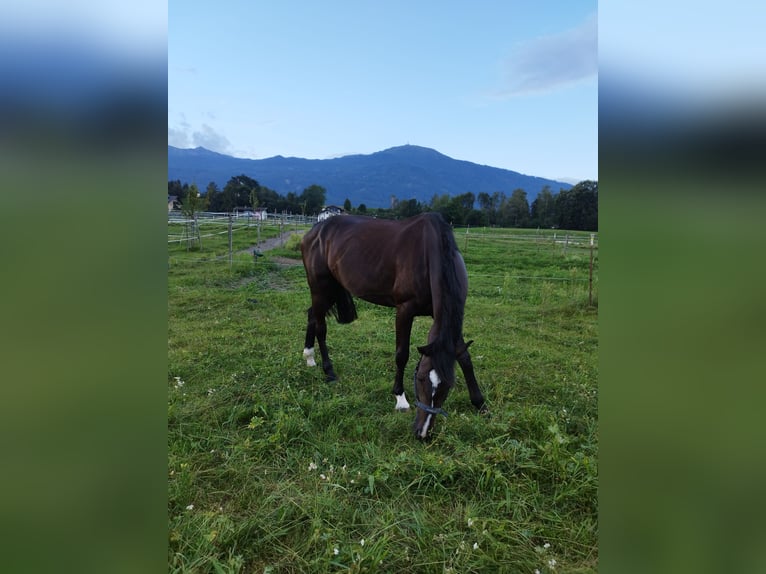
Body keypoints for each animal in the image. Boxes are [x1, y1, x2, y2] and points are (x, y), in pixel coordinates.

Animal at [300, 212, 486, 439]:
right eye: (421, 379)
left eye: (448, 385)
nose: (422, 433)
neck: (429, 254)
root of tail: (316, 230)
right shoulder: (404, 311)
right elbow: (401, 354)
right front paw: (400, 398)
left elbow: (465, 358)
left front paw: (480, 403)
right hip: (320, 287)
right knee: (321, 327)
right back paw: (329, 372)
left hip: (330, 289)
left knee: (312, 315)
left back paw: (309, 357)